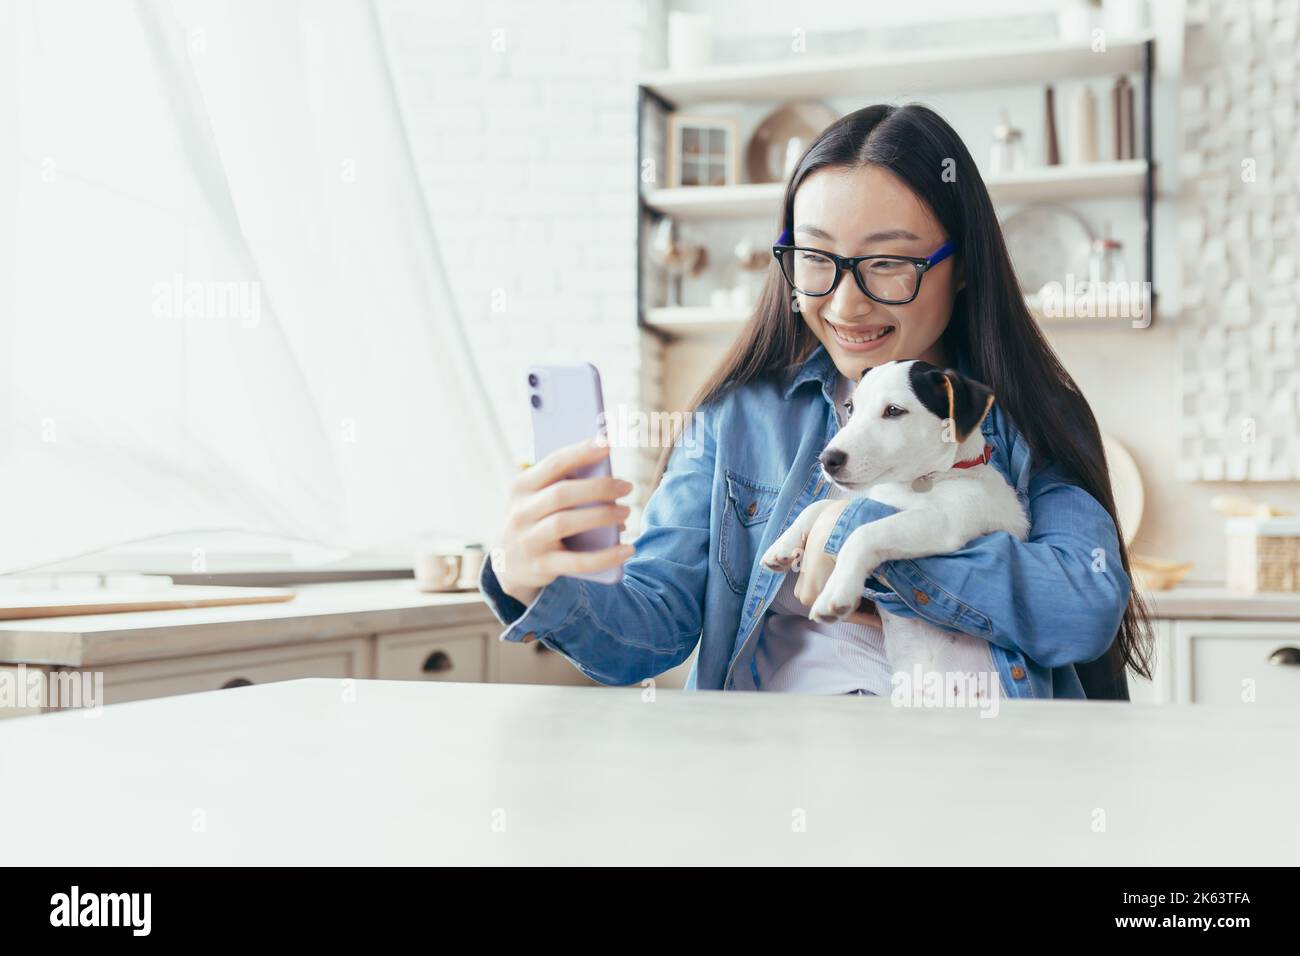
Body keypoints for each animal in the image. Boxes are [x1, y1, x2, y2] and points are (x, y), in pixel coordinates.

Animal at [759, 358, 1029, 697]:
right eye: (850, 407)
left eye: (894, 411)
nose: (827, 459)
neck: (919, 482)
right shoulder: (875, 501)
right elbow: (820, 507)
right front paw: (782, 546)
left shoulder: (944, 521)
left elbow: (861, 533)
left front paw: (837, 589)